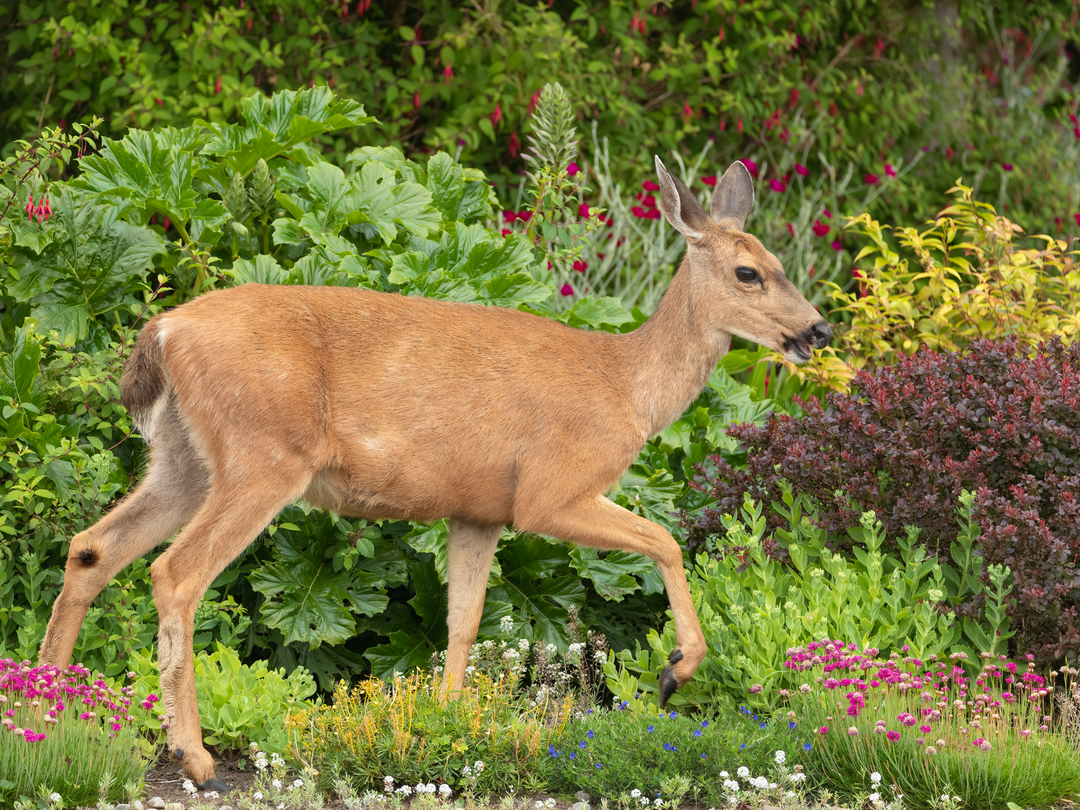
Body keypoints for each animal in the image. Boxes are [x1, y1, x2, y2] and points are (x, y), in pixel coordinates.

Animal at [31, 158, 825, 794]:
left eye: (780, 261)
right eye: (748, 271)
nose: (817, 330)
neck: (628, 389)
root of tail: (161, 332)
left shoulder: (478, 508)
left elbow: (463, 620)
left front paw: (443, 725)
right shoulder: (548, 490)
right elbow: (667, 539)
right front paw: (675, 669)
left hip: (184, 457)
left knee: (92, 547)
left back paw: (48, 714)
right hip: (262, 454)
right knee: (175, 572)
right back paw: (194, 758)